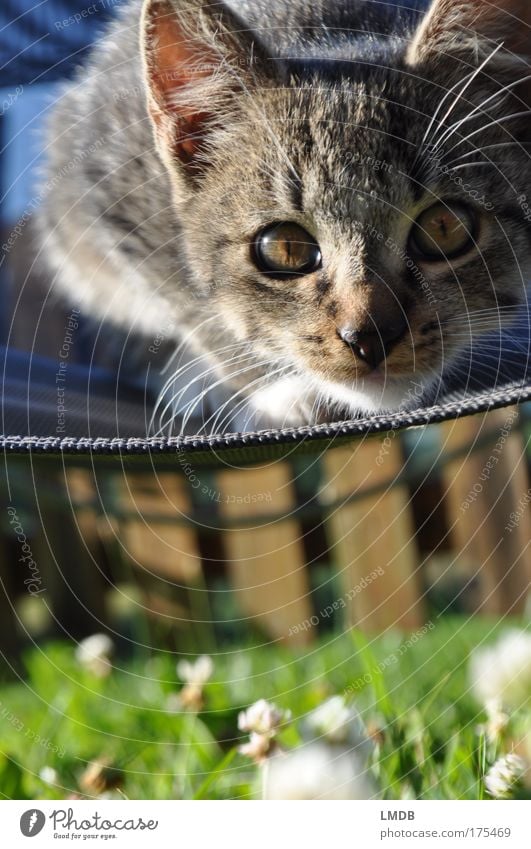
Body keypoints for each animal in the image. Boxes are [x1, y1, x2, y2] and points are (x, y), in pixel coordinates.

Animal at [37, 1, 531, 430]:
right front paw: (274, 391)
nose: (370, 338)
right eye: (286, 248)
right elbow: (187, 300)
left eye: (444, 228)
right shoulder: (108, 181)